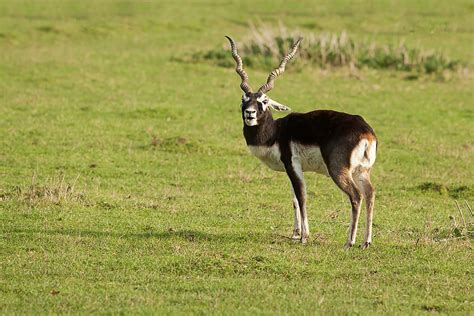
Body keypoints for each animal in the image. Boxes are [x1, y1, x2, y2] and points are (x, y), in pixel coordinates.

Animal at [226, 35, 378, 248]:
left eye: (264, 101)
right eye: (243, 99)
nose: (250, 113)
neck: (276, 132)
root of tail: (366, 131)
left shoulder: (292, 164)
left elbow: (302, 197)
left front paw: (305, 237)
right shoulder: (292, 168)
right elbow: (294, 200)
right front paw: (295, 234)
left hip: (339, 170)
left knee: (356, 196)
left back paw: (349, 242)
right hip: (362, 171)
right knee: (370, 194)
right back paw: (366, 242)